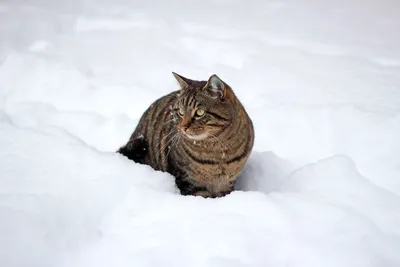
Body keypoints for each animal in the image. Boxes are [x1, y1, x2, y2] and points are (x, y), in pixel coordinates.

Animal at [117, 73, 255, 199]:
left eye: (200, 112)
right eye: (180, 112)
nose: (183, 127)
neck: (218, 152)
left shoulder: (226, 183)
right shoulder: (190, 182)